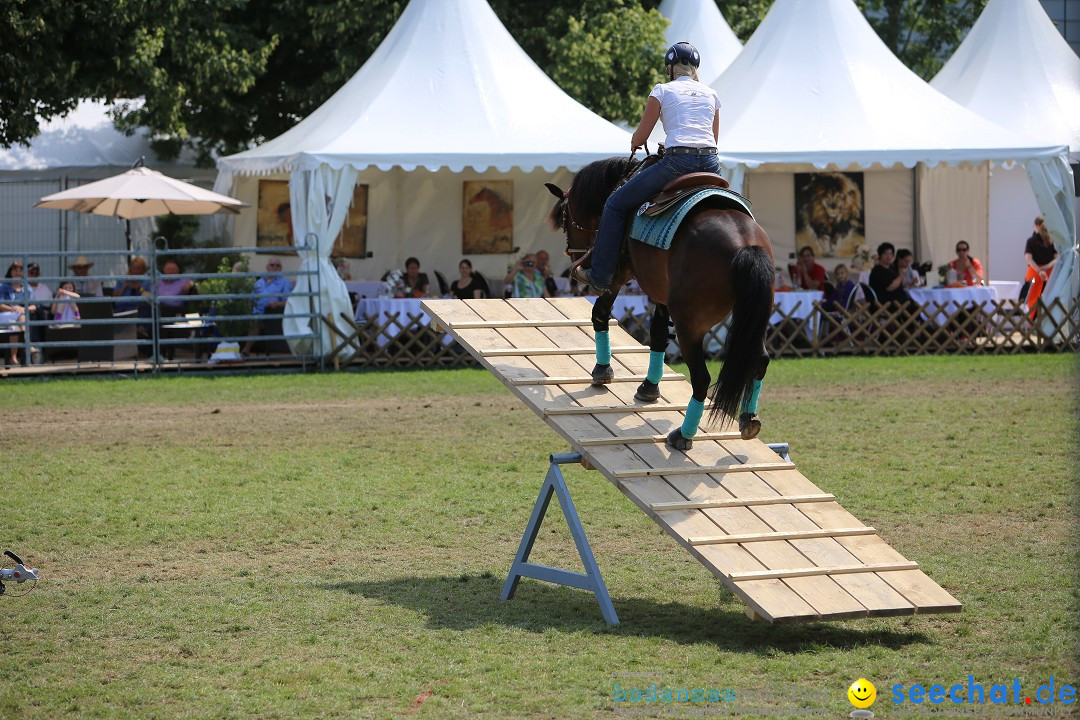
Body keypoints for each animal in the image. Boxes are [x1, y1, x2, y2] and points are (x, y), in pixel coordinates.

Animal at [548, 157, 777, 451]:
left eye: (566, 220)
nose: (576, 259)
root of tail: (744, 244)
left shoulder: (618, 275)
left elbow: (600, 313)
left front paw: (602, 370)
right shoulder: (661, 294)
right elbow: (657, 335)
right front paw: (649, 387)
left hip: (690, 326)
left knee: (701, 379)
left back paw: (683, 435)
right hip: (752, 320)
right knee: (760, 359)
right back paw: (749, 419)